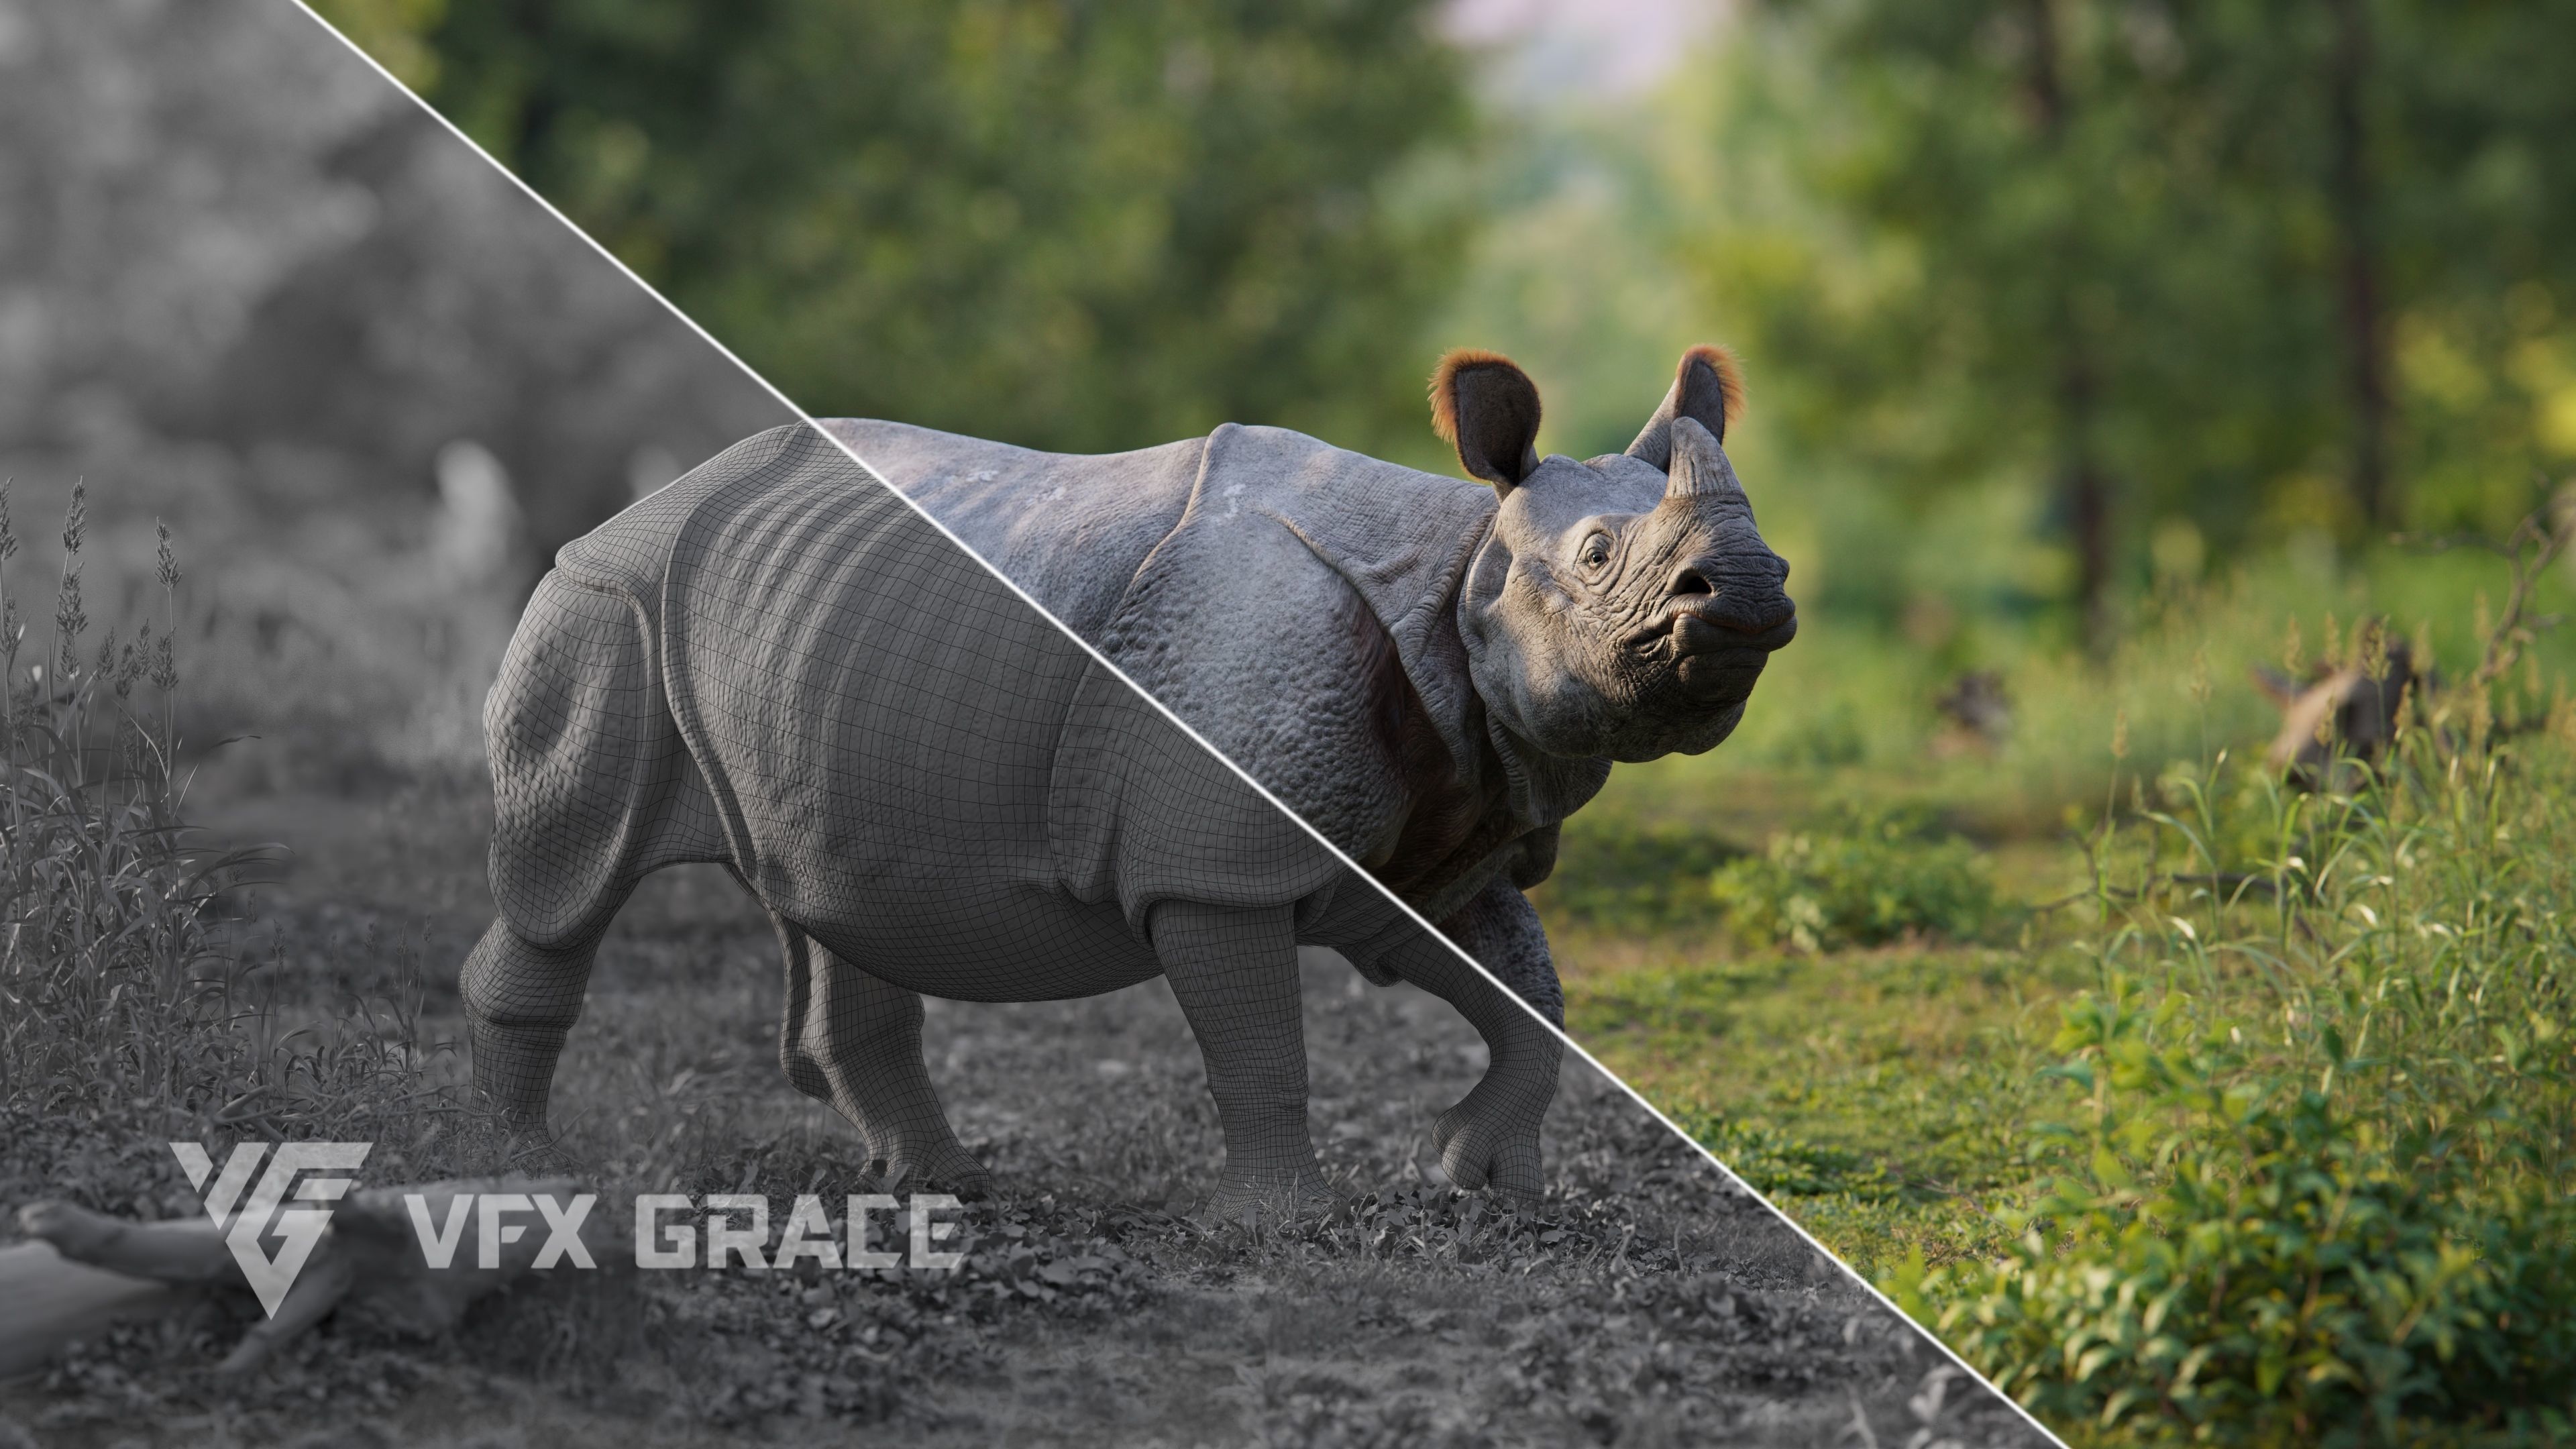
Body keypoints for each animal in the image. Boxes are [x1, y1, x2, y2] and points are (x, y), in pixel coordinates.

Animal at [462, 348, 1793, 1216]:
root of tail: (652, 494)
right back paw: (526, 1173)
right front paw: (1287, 1228)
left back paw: (945, 1186)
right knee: (569, 877)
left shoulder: (1429, 821)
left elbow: (1529, 992)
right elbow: (1260, 1041)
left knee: (830, 891)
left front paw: (1487, 1185)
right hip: (607, 596)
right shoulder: (1216, 862)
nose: (1754, 589)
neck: (1457, 570)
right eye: (1599, 555)